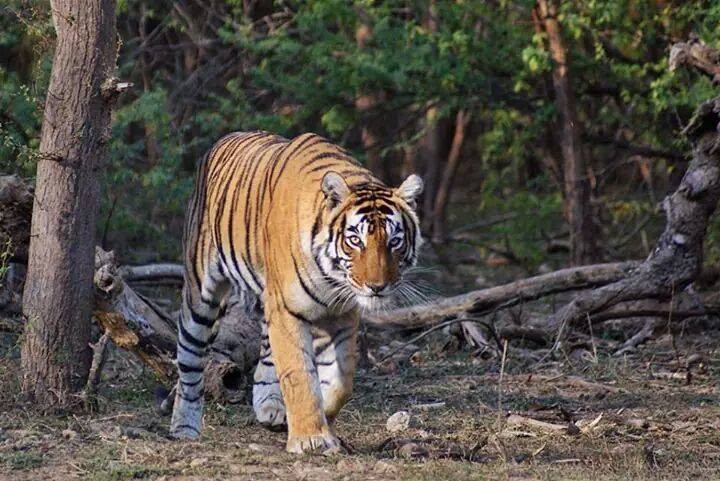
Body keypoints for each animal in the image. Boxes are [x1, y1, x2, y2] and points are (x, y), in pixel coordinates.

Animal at [170, 131, 423, 454]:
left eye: (394, 241)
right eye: (355, 240)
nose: (377, 287)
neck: (333, 279)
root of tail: (224, 139)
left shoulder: (341, 316)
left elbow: (342, 380)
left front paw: (323, 419)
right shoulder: (288, 310)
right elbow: (299, 374)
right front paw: (310, 438)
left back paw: (271, 408)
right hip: (200, 294)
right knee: (189, 359)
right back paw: (184, 427)